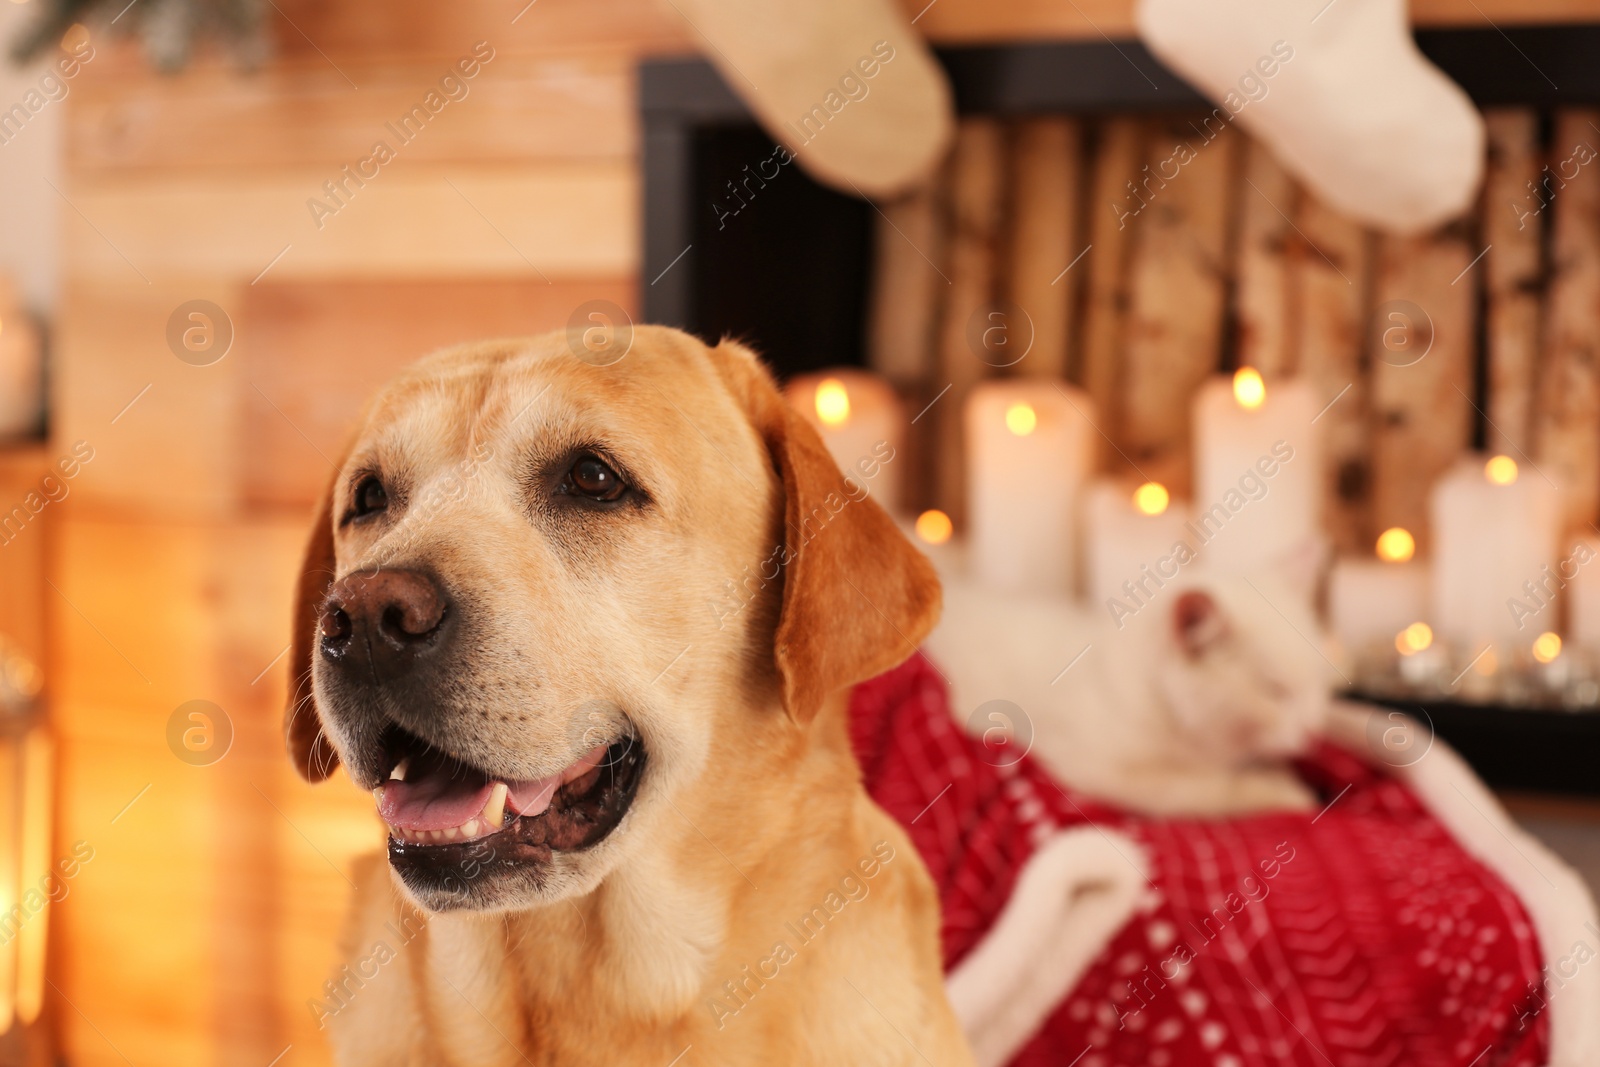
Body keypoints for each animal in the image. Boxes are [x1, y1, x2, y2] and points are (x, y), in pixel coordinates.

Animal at [921, 559, 1331, 819]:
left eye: (1318, 683)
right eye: (1274, 690)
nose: (1314, 731)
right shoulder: (1097, 766)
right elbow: (1201, 790)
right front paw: (1283, 791)